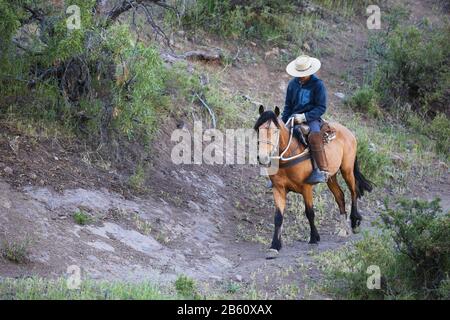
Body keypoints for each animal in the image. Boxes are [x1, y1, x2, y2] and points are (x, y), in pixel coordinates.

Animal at [253, 105, 372, 258]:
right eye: (258, 129)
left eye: (275, 131)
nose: (263, 157)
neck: (289, 153)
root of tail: (349, 132)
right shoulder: (278, 189)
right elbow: (278, 217)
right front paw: (274, 246)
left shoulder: (306, 187)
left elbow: (310, 212)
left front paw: (314, 238)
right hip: (330, 177)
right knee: (340, 196)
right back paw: (343, 229)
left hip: (347, 169)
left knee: (353, 191)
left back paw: (355, 221)